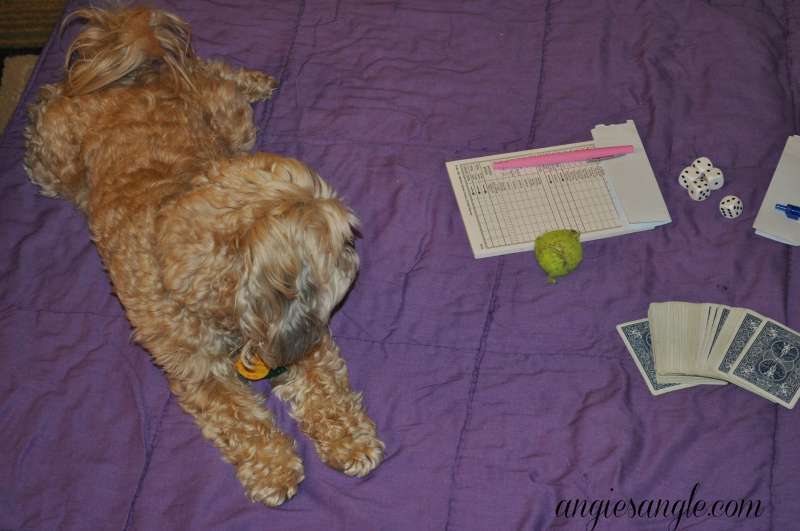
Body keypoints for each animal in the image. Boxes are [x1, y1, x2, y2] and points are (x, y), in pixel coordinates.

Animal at [23, 7, 382, 508]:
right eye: (340, 242)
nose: (355, 249)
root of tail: (128, 72)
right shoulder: (199, 374)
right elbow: (239, 419)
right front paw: (273, 467)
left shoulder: (299, 336)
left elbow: (325, 386)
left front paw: (348, 438)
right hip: (54, 165)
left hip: (232, 123)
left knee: (209, 69)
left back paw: (255, 79)